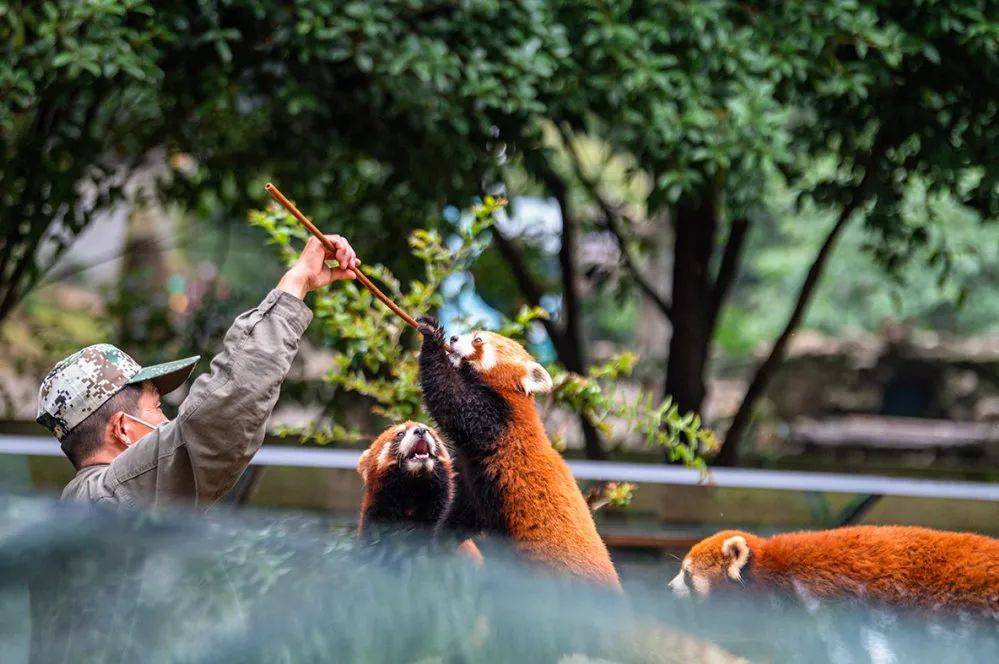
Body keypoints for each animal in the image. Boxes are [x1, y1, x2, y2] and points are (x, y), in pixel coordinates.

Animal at [414, 320, 616, 588]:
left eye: (478, 340)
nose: (454, 338)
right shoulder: (474, 485)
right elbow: (460, 516)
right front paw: (438, 541)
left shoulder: (493, 420)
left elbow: (449, 396)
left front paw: (432, 336)